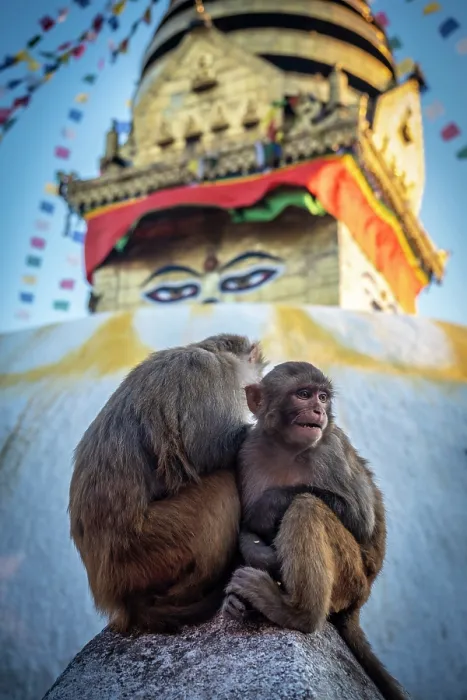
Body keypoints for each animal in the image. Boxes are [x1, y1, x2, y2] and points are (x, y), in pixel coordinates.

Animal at [223, 361, 408, 700]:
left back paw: (296, 613)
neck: (286, 450)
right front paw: (255, 552)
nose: (319, 411)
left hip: (350, 579)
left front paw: (267, 506)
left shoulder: (331, 449)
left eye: (323, 397)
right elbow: (244, 529)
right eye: (304, 394)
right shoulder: (247, 451)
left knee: (307, 506)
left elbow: (361, 520)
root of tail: (362, 598)